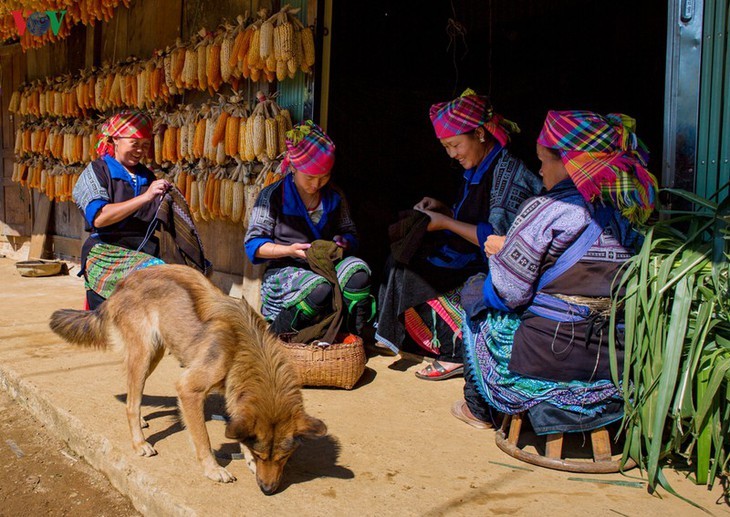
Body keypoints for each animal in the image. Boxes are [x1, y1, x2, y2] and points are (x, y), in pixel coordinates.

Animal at [47, 264, 324, 494]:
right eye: (261, 454)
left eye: (282, 458)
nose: (268, 490)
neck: (245, 347)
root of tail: (124, 282)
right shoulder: (189, 389)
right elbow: (203, 438)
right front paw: (213, 469)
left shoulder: (234, 394)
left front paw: (246, 460)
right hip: (144, 354)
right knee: (131, 403)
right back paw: (139, 443)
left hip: (155, 354)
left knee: (133, 395)